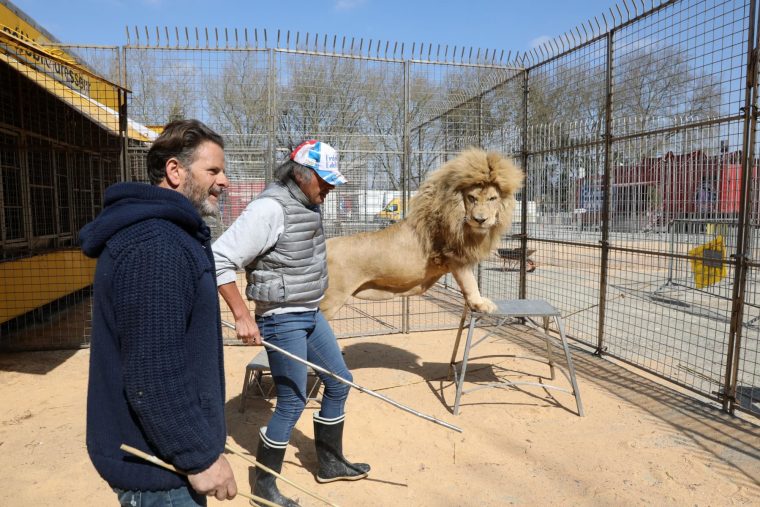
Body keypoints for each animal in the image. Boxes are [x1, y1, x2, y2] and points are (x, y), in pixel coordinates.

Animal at [320, 149, 524, 320]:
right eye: (471, 198)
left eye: (492, 198)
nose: (480, 219)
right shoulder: (454, 256)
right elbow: (470, 282)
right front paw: (480, 304)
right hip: (330, 299)